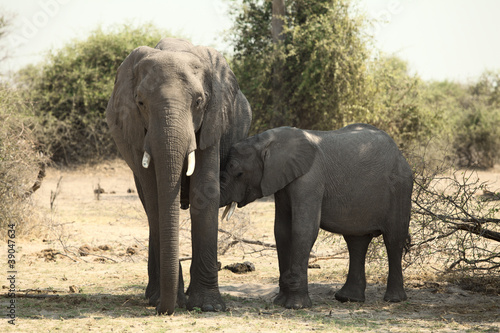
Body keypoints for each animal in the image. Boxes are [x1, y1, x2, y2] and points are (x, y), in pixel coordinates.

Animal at [107, 37, 252, 312]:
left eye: (198, 102)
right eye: (140, 103)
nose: (164, 310)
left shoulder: (212, 122)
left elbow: (204, 192)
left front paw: (209, 306)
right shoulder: (136, 132)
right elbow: (155, 198)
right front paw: (172, 300)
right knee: (149, 207)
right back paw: (153, 296)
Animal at [221, 123, 412, 308]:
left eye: (239, 174)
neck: (269, 141)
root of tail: (400, 153)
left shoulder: (309, 180)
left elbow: (303, 230)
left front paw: (295, 306)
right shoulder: (283, 184)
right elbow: (281, 231)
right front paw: (280, 302)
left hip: (400, 187)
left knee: (394, 238)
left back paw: (393, 300)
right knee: (356, 241)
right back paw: (348, 299)